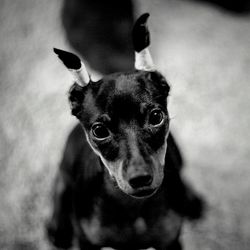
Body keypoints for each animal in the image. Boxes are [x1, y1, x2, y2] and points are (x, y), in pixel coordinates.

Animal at [47, 13, 203, 250]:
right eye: (99, 131)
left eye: (156, 117)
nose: (140, 178)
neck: (131, 206)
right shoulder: (87, 241)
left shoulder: (170, 241)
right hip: (66, 160)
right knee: (60, 182)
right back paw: (59, 226)